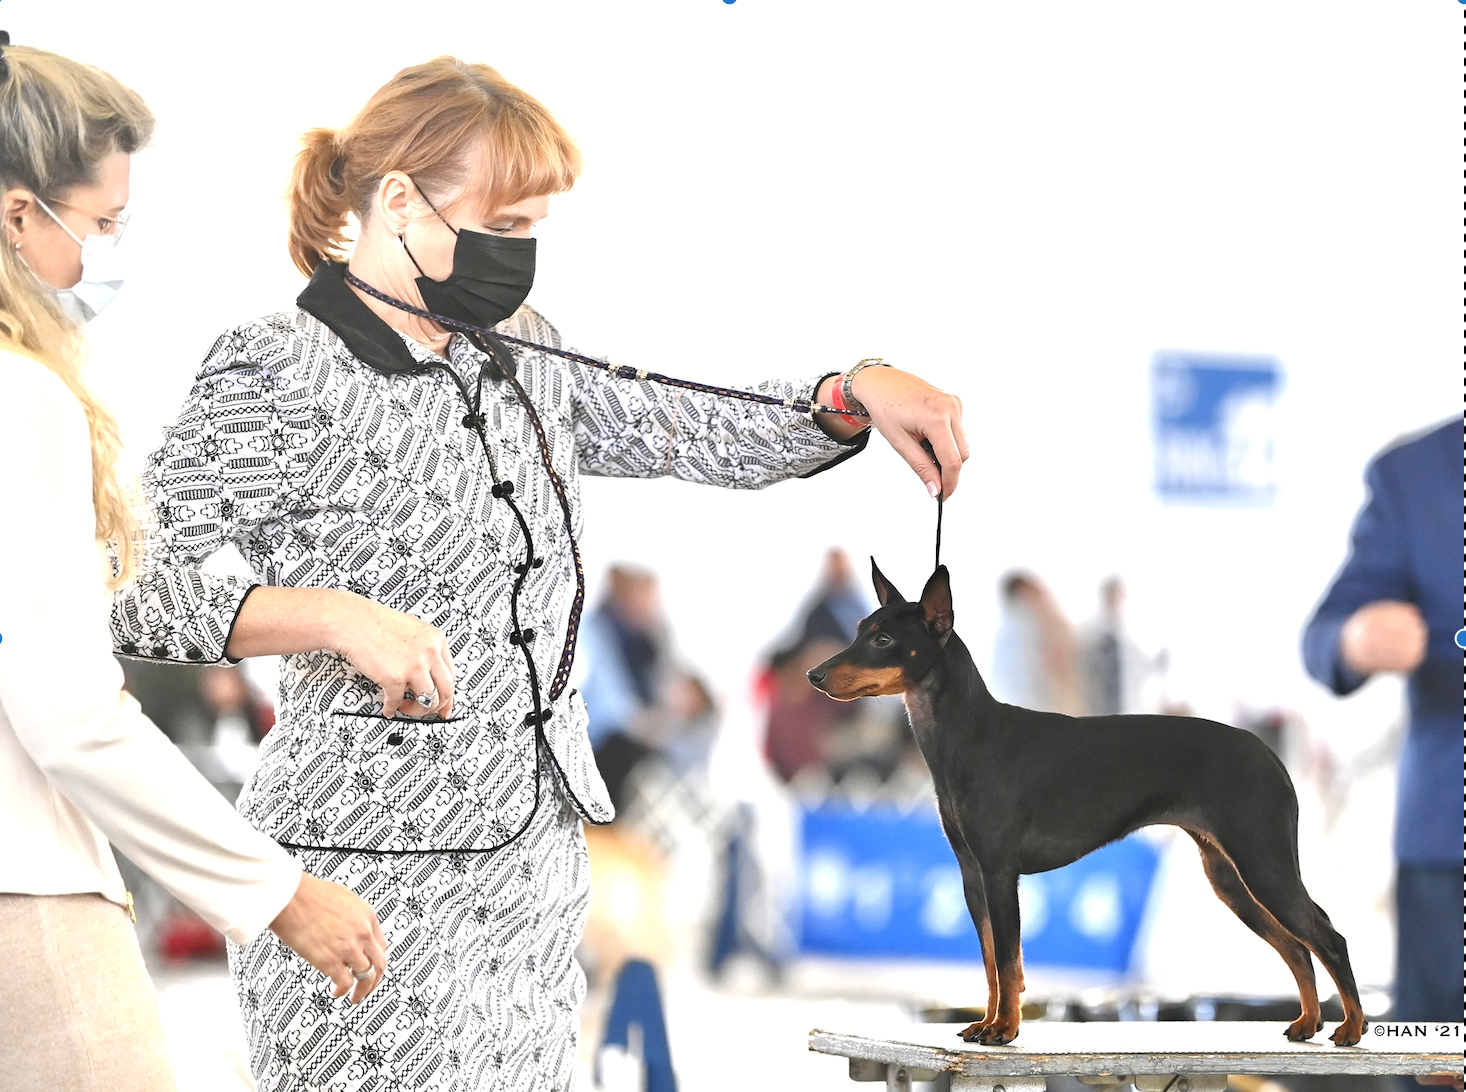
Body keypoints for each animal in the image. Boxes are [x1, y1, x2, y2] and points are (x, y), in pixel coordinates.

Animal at [806, 562, 1366, 1048]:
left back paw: (1351, 1028)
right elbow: (990, 962)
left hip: (1262, 863)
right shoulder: (971, 874)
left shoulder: (999, 872)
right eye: (859, 629)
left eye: (883, 639)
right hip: (1230, 877)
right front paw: (986, 1022)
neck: (966, 735)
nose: (814, 674)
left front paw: (1004, 1030)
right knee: (1297, 946)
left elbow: (1007, 960)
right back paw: (1307, 1023)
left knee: (1328, 938)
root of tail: (1270, 754)